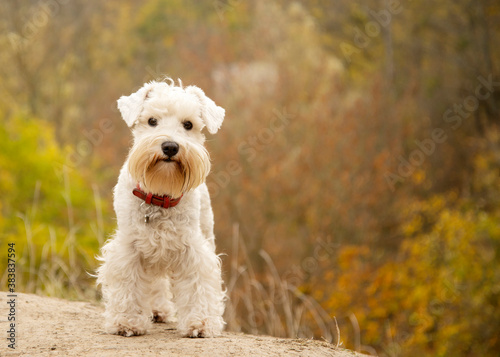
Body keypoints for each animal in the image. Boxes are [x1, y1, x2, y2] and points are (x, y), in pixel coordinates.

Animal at [95, 78, 227, 336]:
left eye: (188, 124)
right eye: (152, 121)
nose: (170, 146)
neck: (160, 194)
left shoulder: (193, 248)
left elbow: (198, 283)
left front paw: (200, 322)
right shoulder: (129, 247)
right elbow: (129, 284)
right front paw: (126, 321)